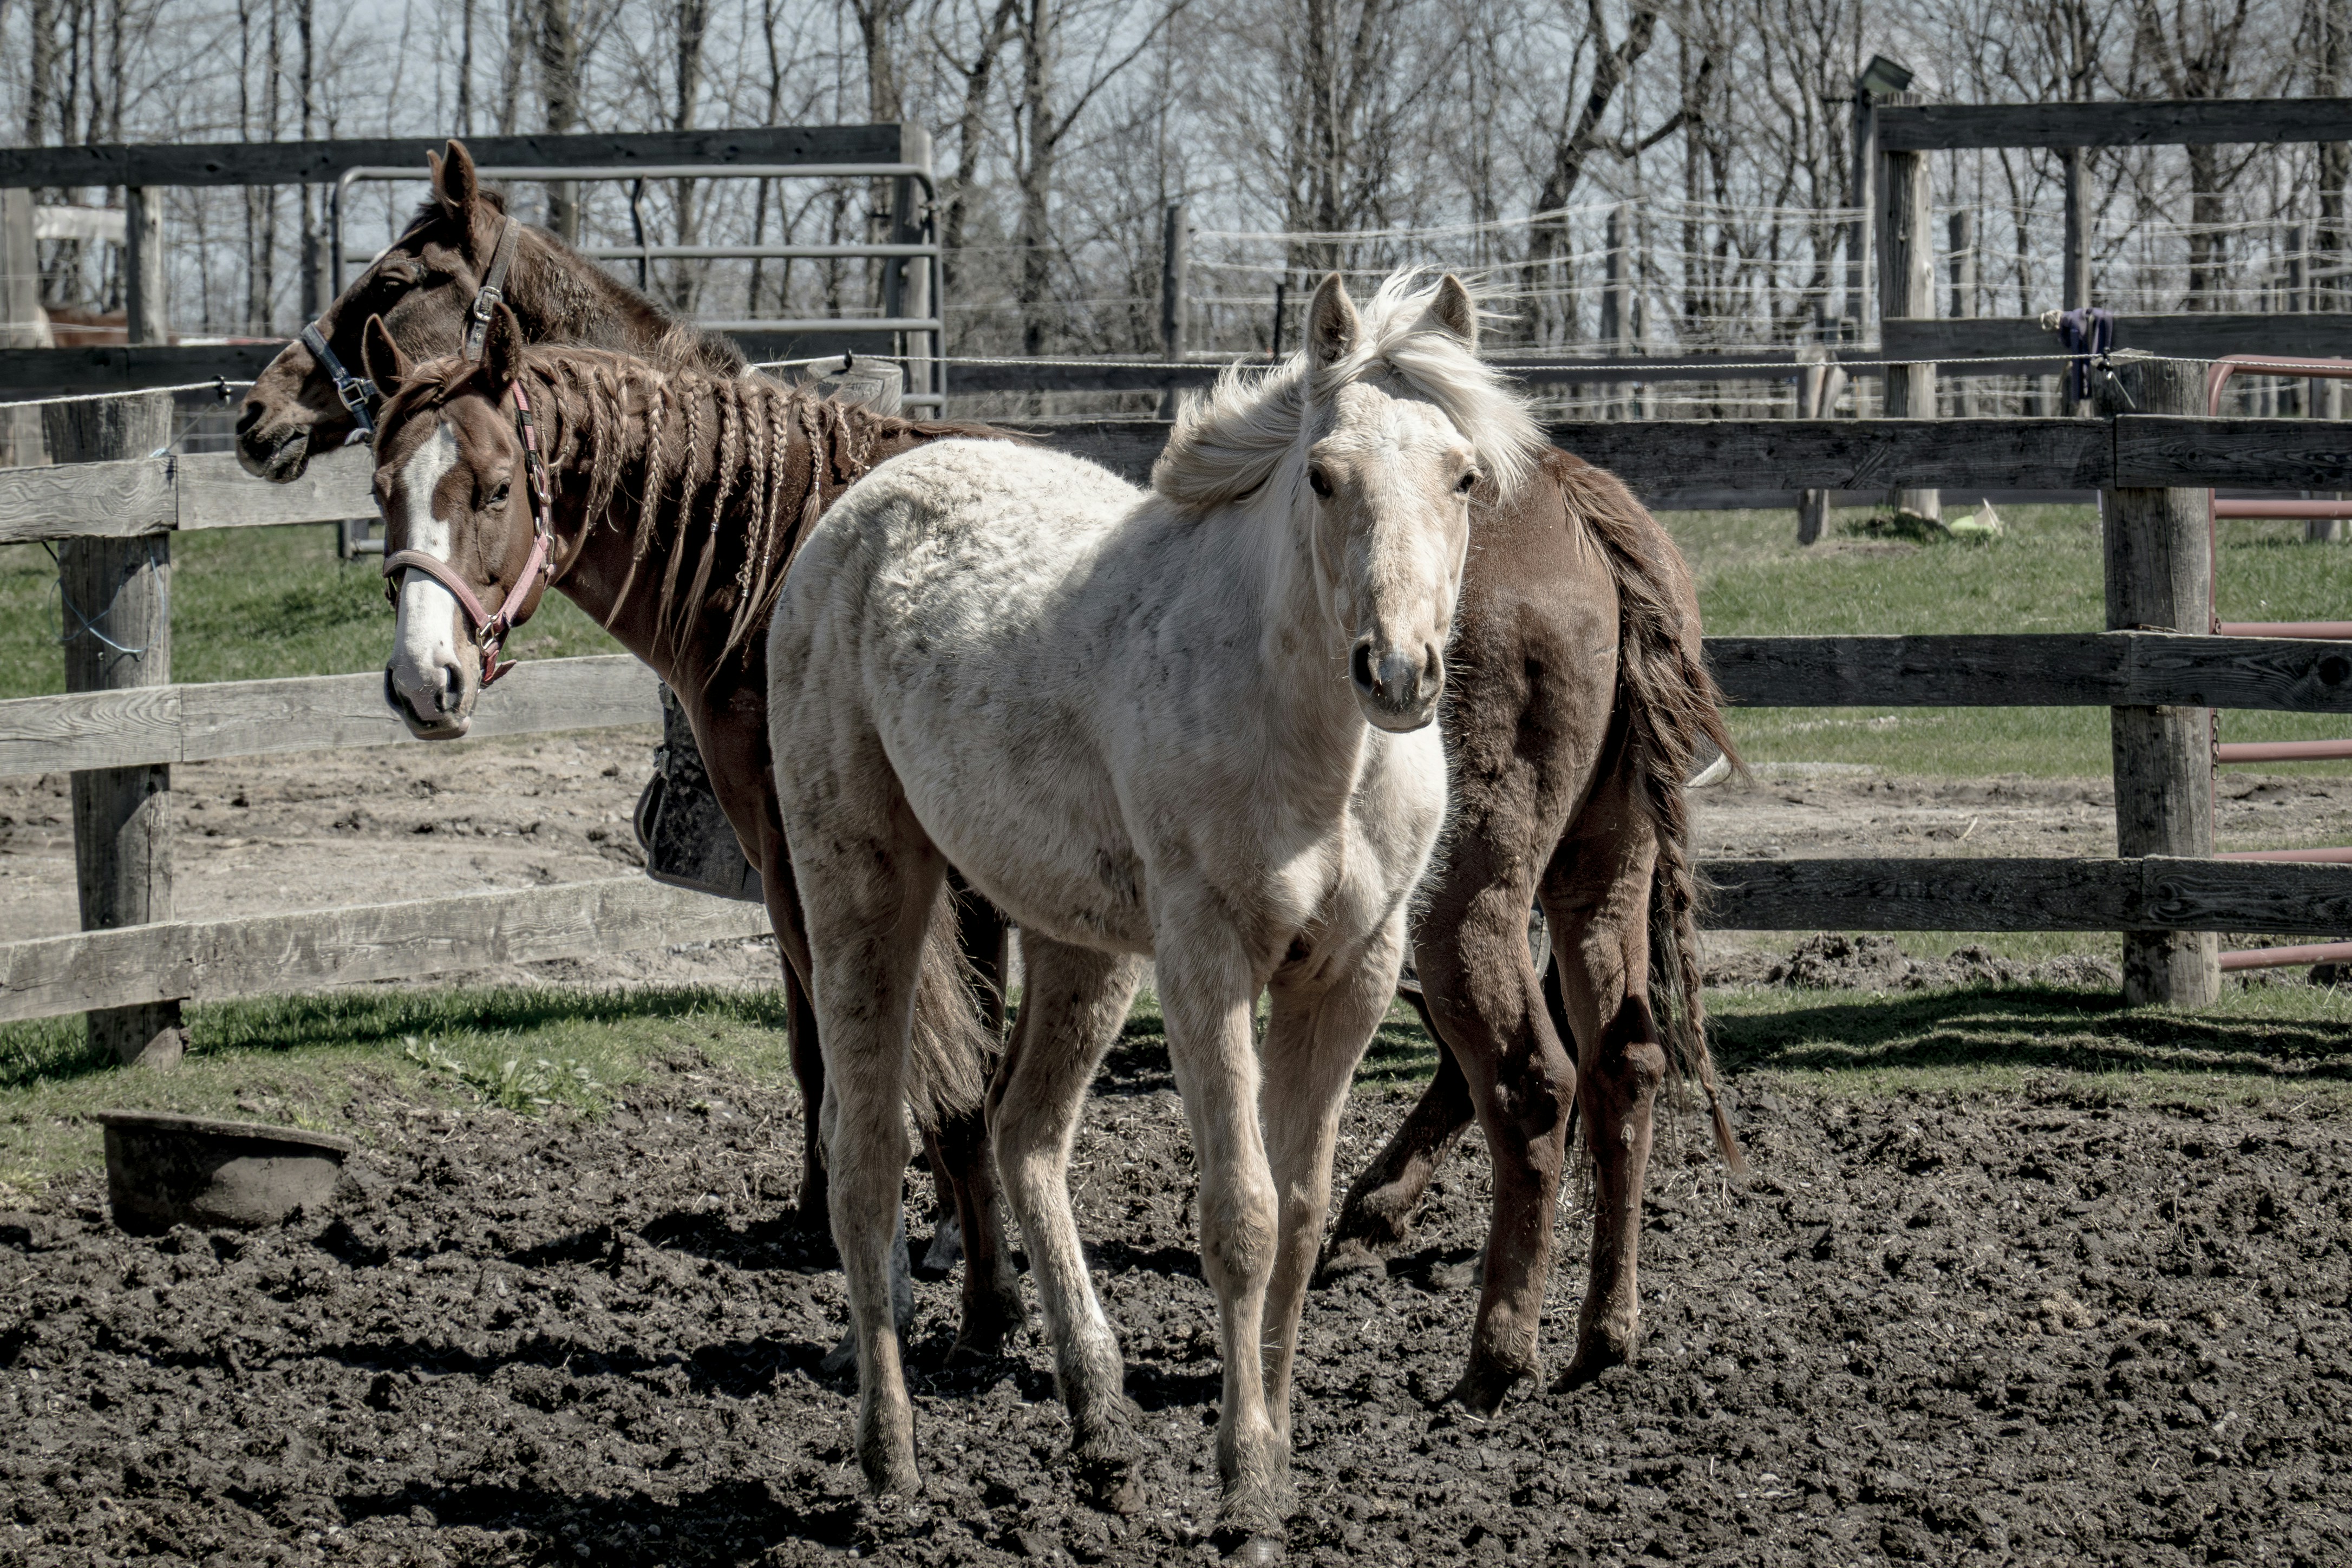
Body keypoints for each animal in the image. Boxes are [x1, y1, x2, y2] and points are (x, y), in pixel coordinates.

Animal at [234, 138, 1013, 1321]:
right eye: (380, 494)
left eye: (395, 281)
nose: (256, 411)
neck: (777, 535)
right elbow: (881, 1044)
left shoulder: (802, 844)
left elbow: (860, 1043)